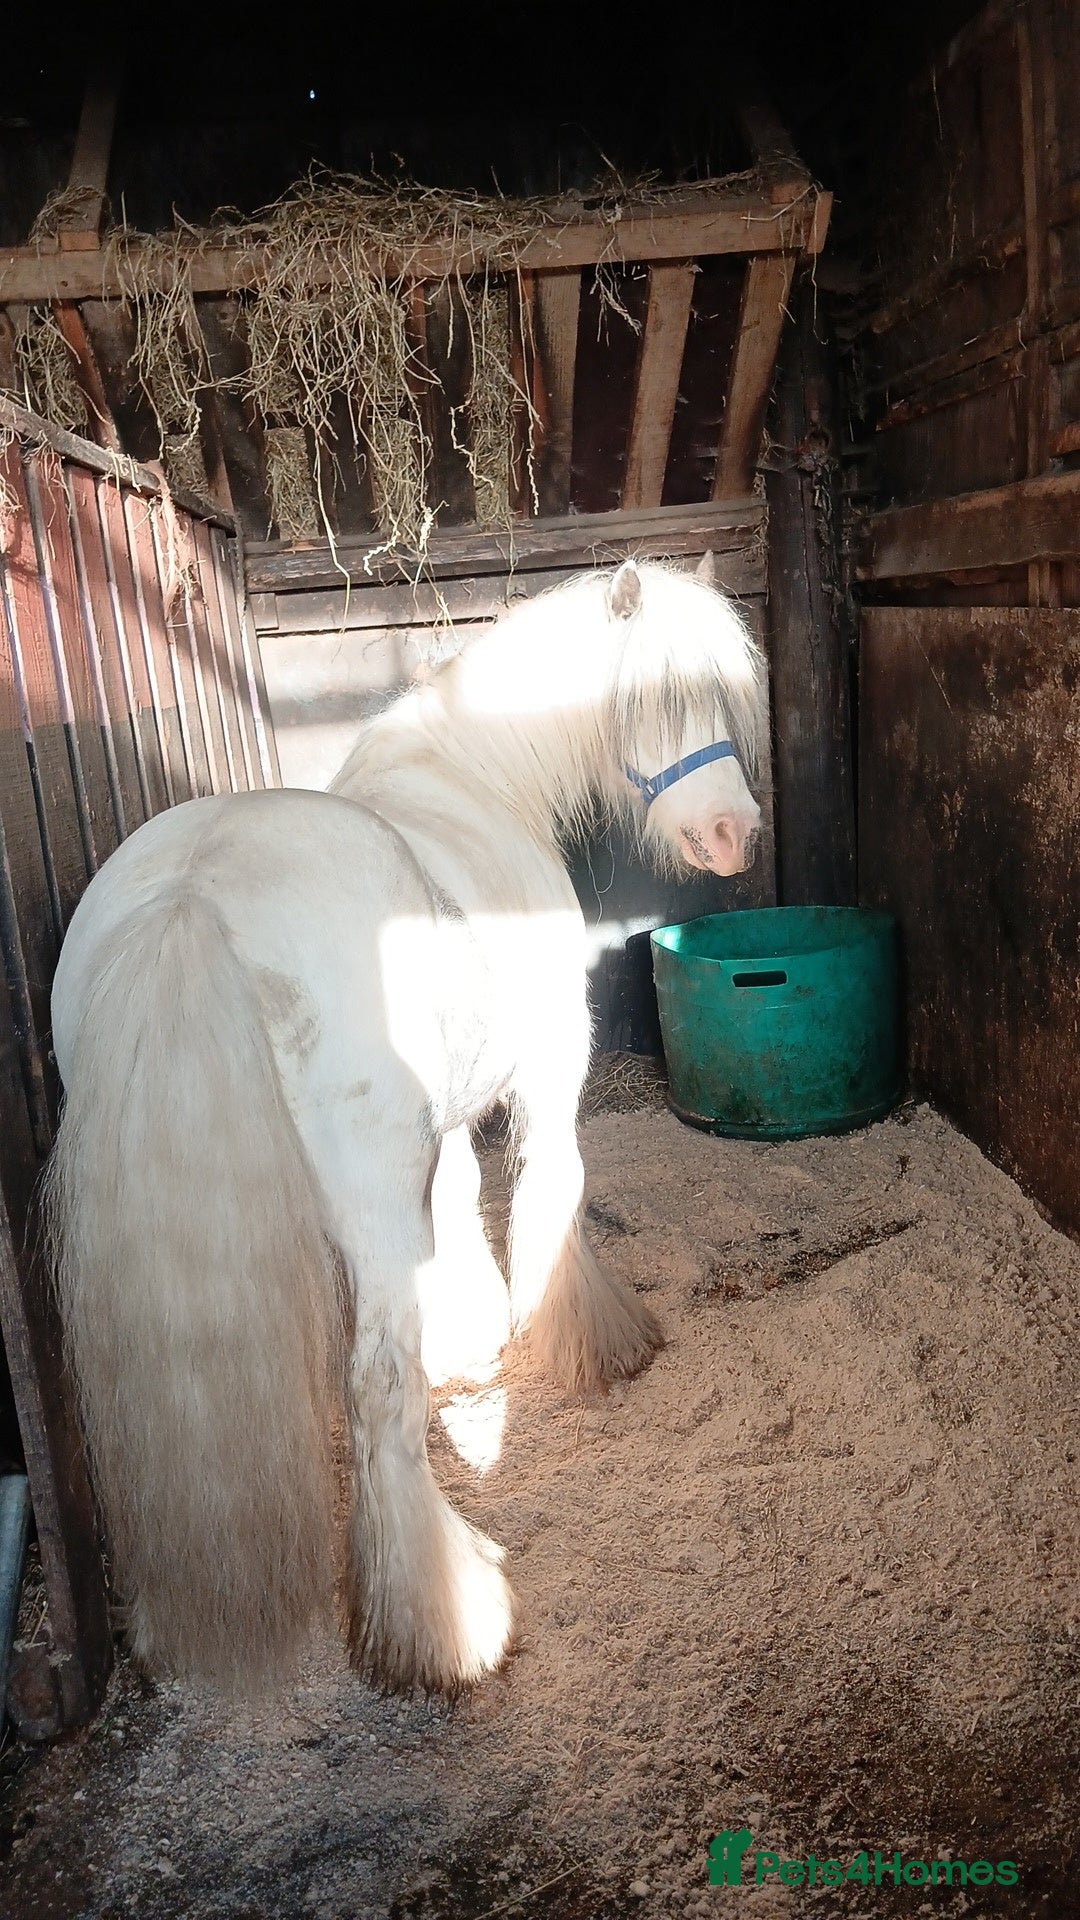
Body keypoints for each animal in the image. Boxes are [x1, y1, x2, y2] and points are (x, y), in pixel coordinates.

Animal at [44, 555, 767, 1696]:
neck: (466, 782)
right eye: (655, 696)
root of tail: (194, 894)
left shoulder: (449, 1121)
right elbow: (551, 1196)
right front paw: (589, 1341)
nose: (737, 833)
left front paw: (471, 1339)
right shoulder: (548, 1074)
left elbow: (463, 1210)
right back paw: (448, 1620)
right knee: (376, 1388)